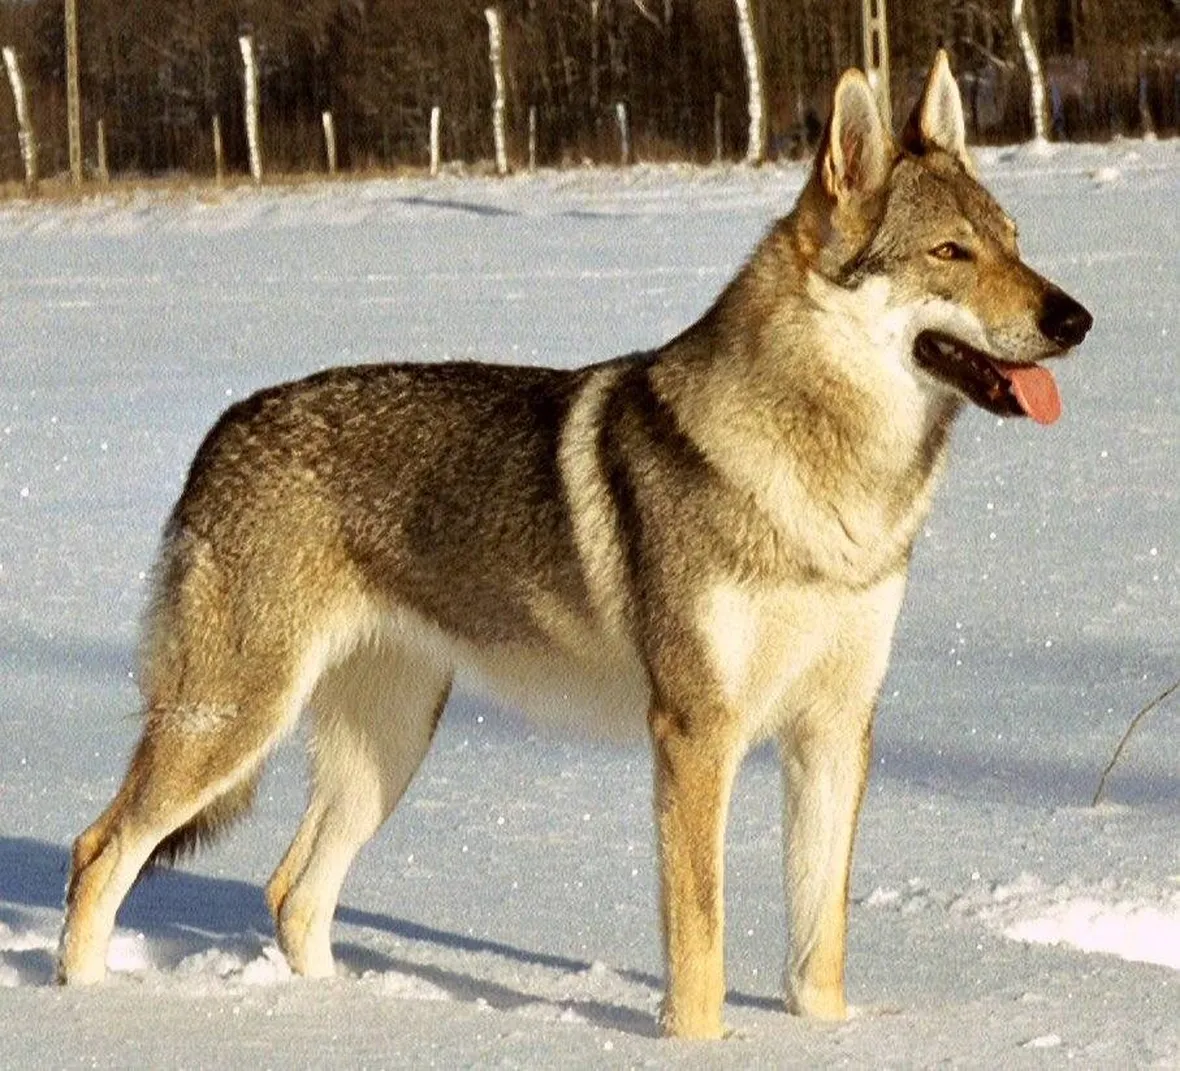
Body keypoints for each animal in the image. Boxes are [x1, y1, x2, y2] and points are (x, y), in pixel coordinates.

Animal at [59, 52, 1091, 1039]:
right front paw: (700, 1042)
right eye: (950, 251)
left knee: (291, 891)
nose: (1075, 319)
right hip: (234, 723)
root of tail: (224, 427)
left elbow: (818, 941)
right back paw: (81, 1003)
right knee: (100, 850)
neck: (834, 488)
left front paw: (830, 1035)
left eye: (1014, 240)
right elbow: (701, 944)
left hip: (385, 749)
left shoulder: (835, 730)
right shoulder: (696, 735)